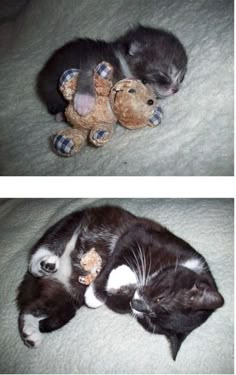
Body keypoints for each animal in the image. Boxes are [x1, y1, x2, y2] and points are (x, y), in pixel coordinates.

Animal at [16, 207, 223, 360]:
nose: (138, 305)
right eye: (161, 298)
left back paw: (30, 332)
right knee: (49, 244)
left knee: (33, 308)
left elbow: (119, 301)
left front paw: (122, 281)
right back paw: (44, 264)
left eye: (148, 320)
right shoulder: (141, 234)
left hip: (66, 296)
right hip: (72, 222)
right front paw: (96, 293)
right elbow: (115, 258)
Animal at [37, 25, 188, 117]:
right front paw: (84, 101)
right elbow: (86, 71)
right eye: (163, 74)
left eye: (181, 78)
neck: (122, 63)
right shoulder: (94, 58)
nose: (176, 89)